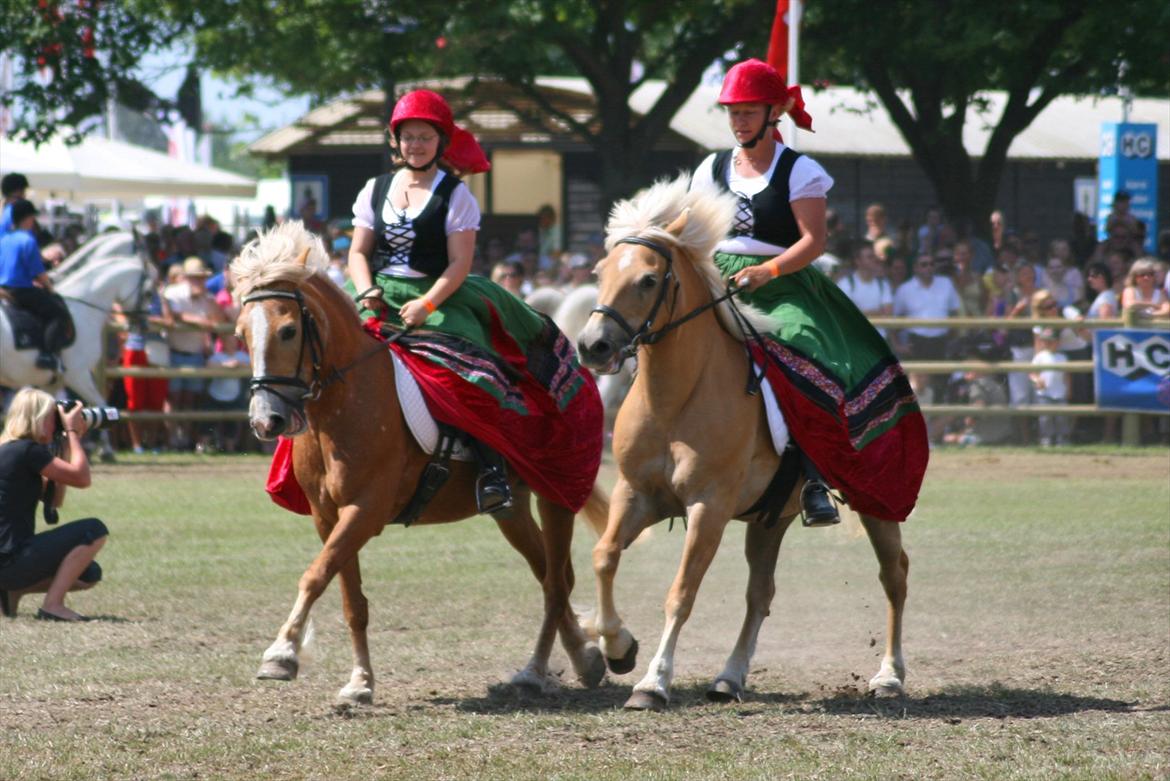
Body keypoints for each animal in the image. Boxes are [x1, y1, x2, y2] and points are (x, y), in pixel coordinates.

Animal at [0, 250, 153, 458]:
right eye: (149, 292)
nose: (144, 325)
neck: (83, 310)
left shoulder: (53, 382)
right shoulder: (78, 374)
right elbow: (99, 402)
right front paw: (105, 449)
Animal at [232, 222, 608, 706]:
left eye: (288, 330)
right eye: (241, 334)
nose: (266, 420)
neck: (340, 406)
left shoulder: (365, 510)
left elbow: (315, 575)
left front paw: (282, 653)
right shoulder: (328, 516)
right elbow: (350, 598)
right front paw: (360, 682)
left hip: (556, 494)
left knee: (556, 584)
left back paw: (535, 671)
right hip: (512, 510)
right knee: (552, 574)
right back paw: (589, 655)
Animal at [577, 178, 912, 715]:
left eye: (648, 280)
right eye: (601, 272)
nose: (593, 346)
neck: (676, 399)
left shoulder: (707, 508)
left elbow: (681, 593)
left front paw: (653, 682)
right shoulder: (636, 495)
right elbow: (604, 557)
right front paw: (619, 647)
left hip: (876, 501)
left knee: (894, 576)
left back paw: (889, 676)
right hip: (770, 519)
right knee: (761, 594)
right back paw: (728, 678)